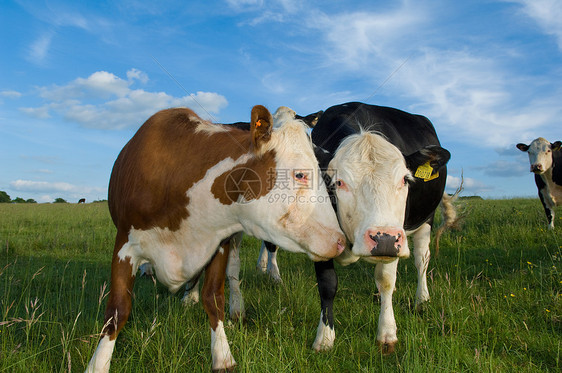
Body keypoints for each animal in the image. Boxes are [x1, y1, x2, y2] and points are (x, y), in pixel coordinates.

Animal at [85, 105, 344, 372]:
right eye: (301, 174)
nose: (340, 241)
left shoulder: (218, 243)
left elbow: (214, 299)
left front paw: (222, 355)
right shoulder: (124, 245)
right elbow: (117, 310)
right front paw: (98, 363)